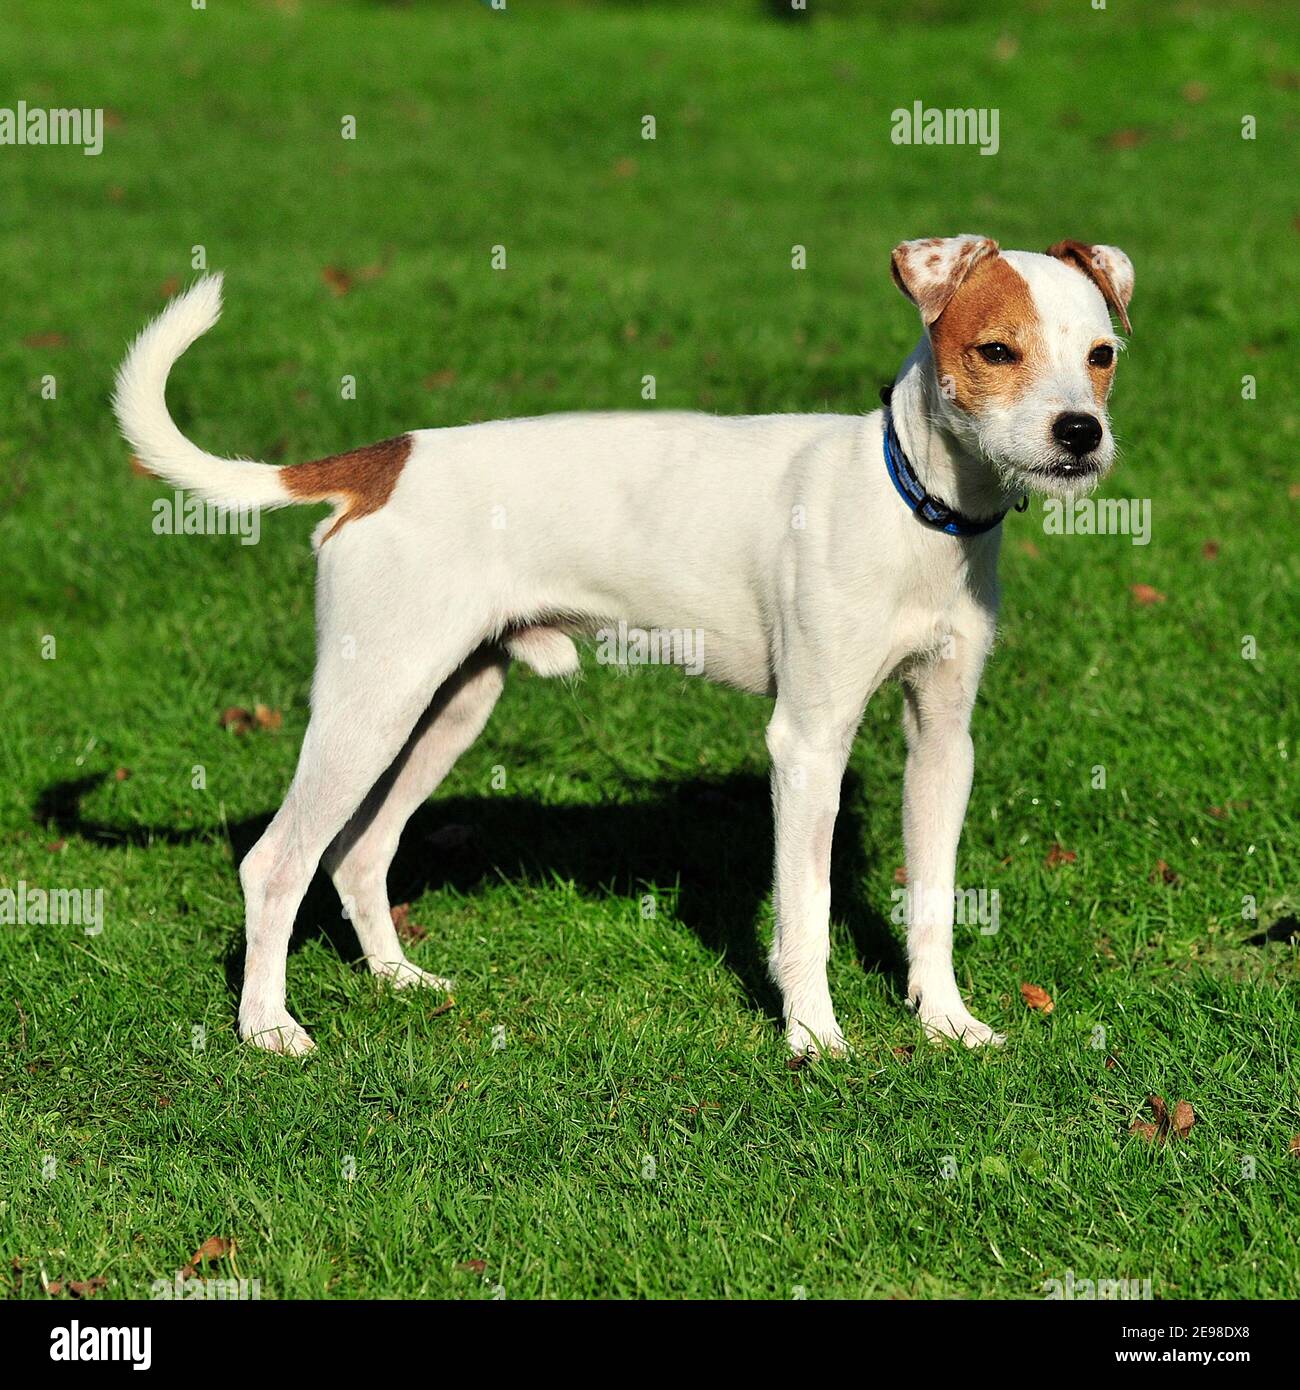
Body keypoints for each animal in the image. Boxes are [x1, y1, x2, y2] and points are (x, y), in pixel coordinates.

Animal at [114, 233, 1128, 1050]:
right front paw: (814, 1040)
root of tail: (382, 463)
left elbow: (932, 905)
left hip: (448, 706)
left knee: (358, 854)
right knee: (276, 864)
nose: (1081, 432)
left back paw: (399, 981)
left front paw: (946, 1021)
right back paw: (267, 1028)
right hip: (373, 704)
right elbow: (805, 913)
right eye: (996, 350)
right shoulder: (808, 743)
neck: (912, 504)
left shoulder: (942, 742)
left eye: (1103, 356)